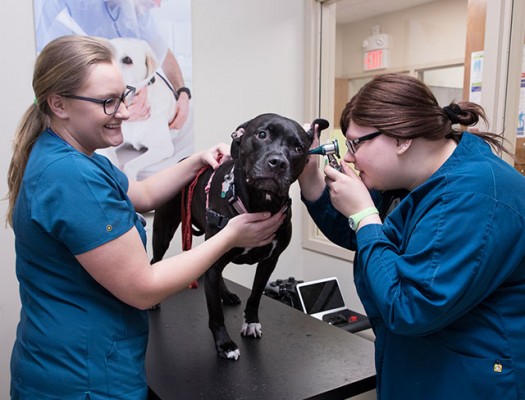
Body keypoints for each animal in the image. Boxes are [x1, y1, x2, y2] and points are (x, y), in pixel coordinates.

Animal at [149, 112, 326, 360]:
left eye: (299, 148)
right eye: (262, 134)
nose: (278, 162)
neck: (260, 203)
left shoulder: (269, 262)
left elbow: (256, 296)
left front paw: (251, 323)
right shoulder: (215, 258)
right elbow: (215, 313)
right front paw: (224, 344)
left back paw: (226, 294)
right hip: (163, 231)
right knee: (155, 260)